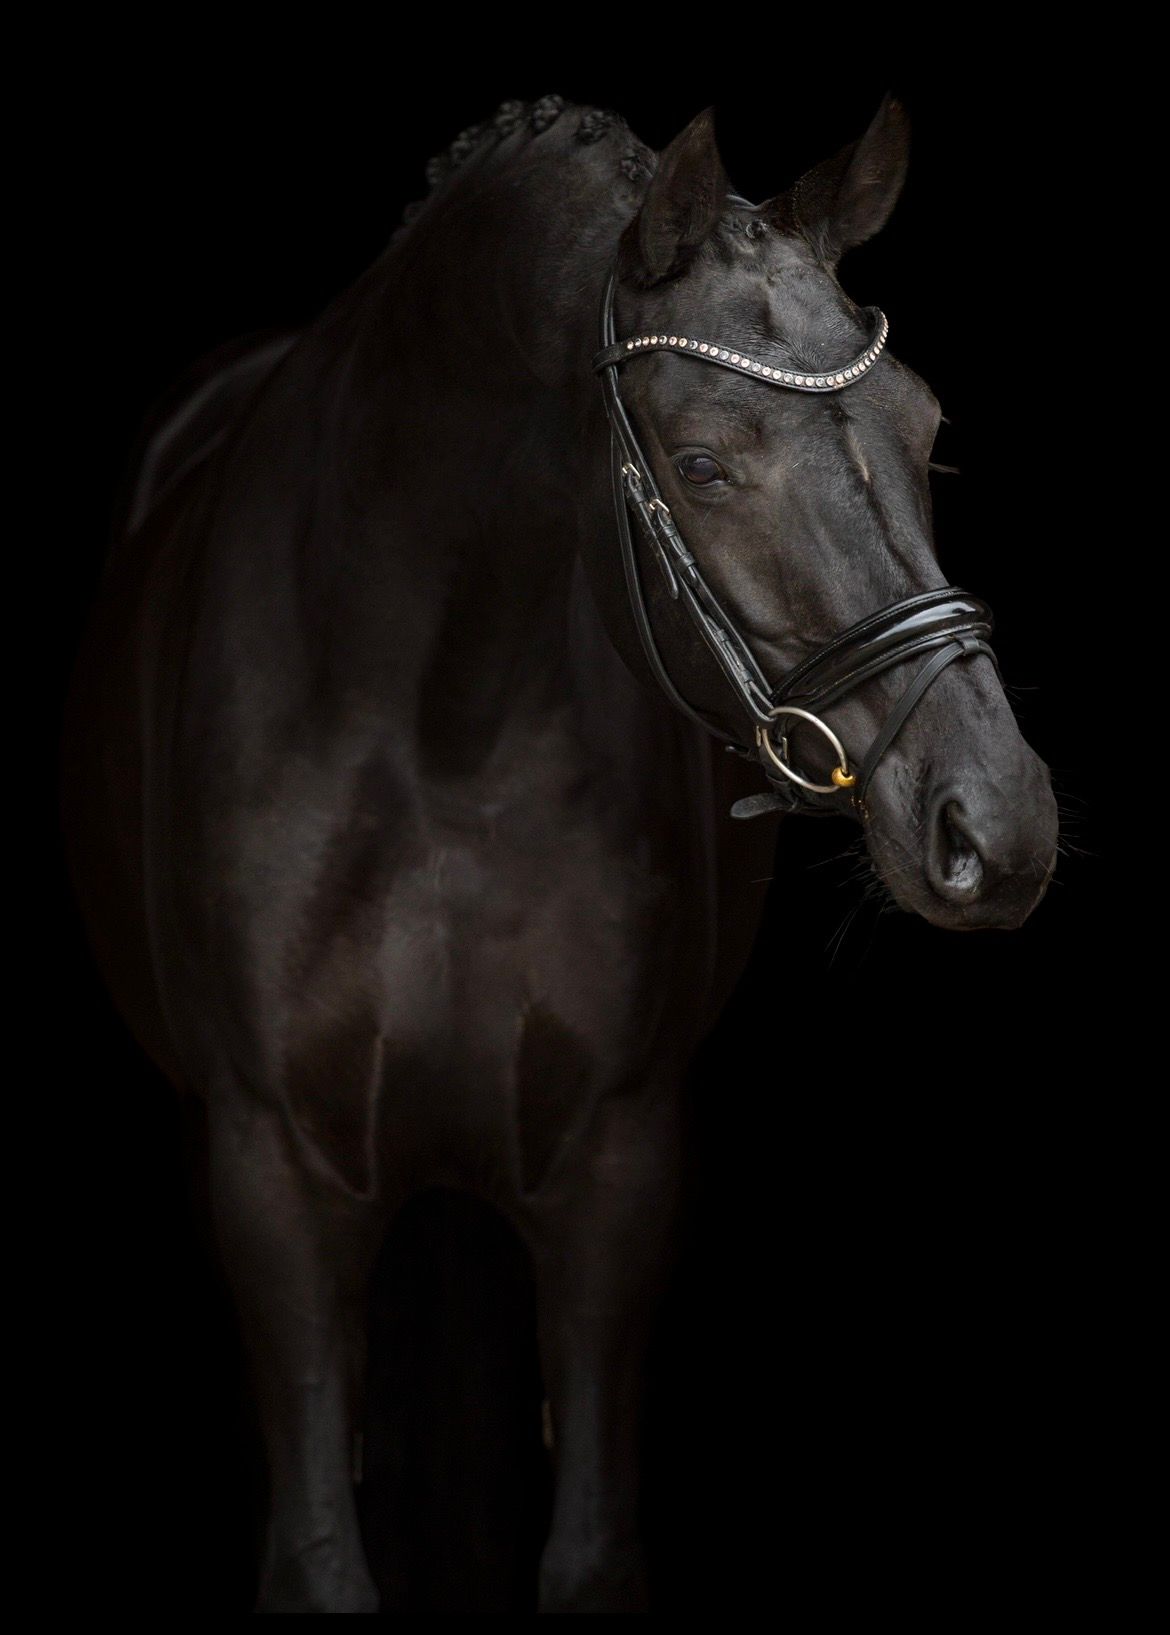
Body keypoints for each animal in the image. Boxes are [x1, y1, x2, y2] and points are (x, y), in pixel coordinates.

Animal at [61, 92, 1058, 1613]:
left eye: (929, 430)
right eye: (700, 464)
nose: (996, 826)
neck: (439, 726)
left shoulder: (614, 1163)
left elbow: (588, 1553)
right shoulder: (271, 1170)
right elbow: (319, 1558)